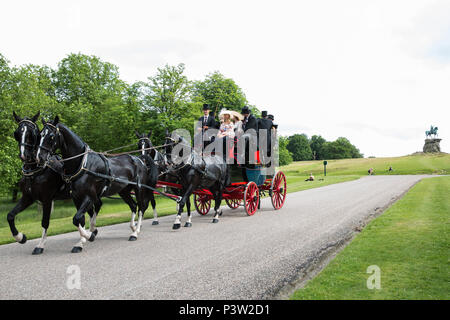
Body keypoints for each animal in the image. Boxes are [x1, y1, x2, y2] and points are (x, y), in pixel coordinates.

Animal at [7, 112, 81, 255]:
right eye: (17, 133)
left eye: (32, 133)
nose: (24, 155)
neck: (36, 171)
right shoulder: (28, 197)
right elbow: (10, 215)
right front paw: (20, 237)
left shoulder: (47, 199)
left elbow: (45, 222)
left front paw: (40, 245)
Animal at [36, 116, 155, 251]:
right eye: (40, 135)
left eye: (51, 136)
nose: (40, 157)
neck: (83, 164)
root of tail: (139, 159)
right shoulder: (76, 197)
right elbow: (79, 219)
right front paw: (82, 241)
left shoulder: (90, 197)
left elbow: (76, 219)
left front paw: (89, 235)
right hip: (123, 191)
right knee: (134, 206)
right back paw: (133, 227)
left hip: (139, 188)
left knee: (141, 207)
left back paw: (135, 232)